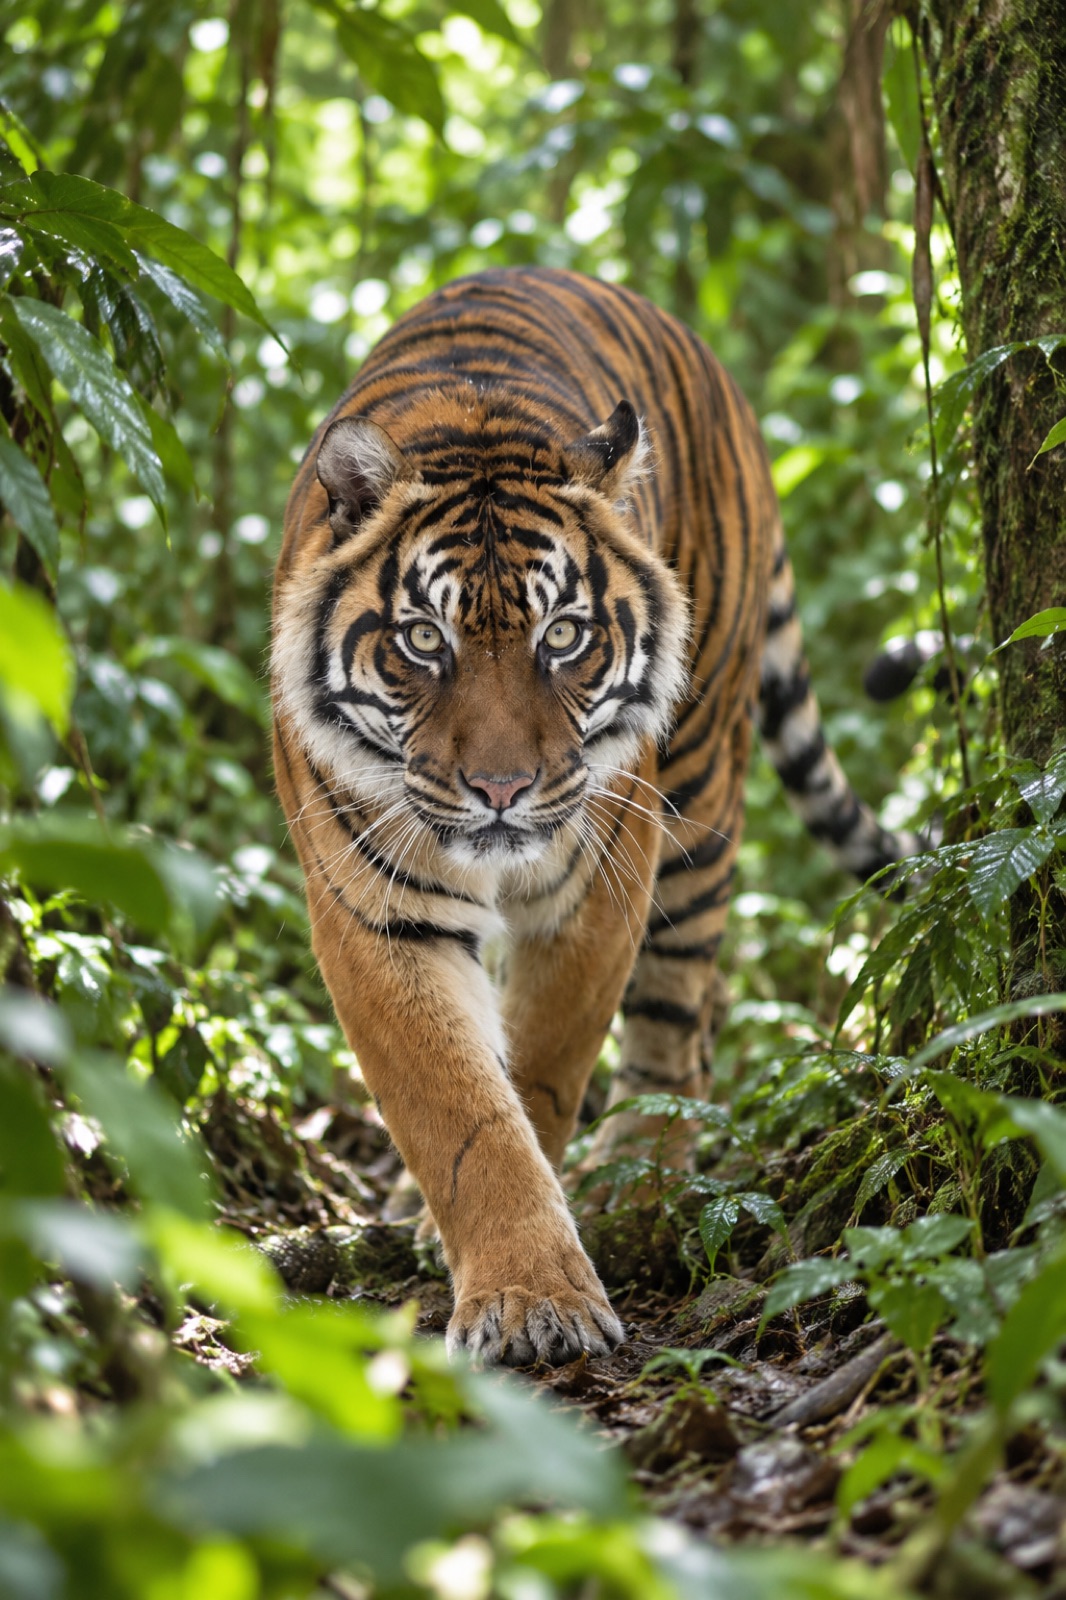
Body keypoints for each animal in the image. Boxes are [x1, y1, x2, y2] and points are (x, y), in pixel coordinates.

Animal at [271, 265, 916, 1367]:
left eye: (564, 635)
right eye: (424, 639)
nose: (501, 789)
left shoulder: (597, 883)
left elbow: (534, 1075)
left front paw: (536, 1292)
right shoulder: (376, 912)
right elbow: (457, 1107)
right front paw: (524, 1289)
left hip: (695, 797)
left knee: (680, 1010)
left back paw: (643, 1172)